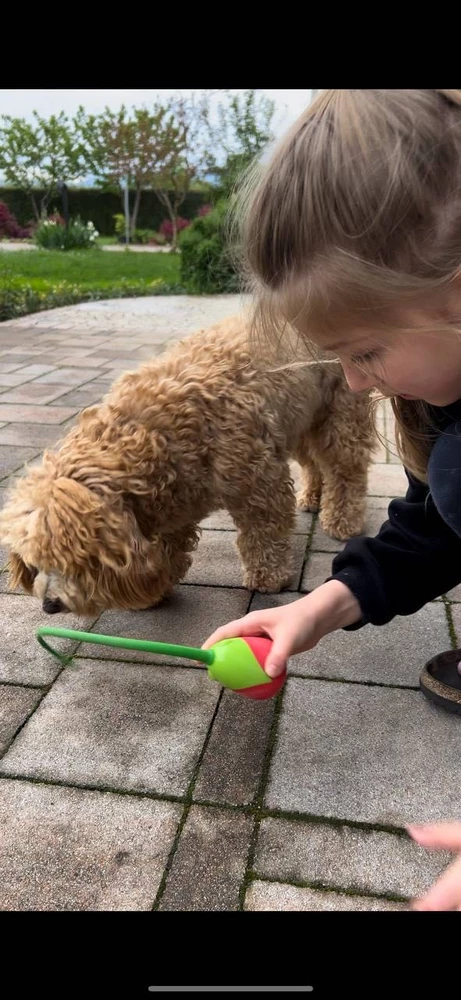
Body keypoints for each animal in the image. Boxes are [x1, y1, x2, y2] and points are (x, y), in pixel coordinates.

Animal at [0, 312, 376, 612]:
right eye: (35, 561)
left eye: (76, 561)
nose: (49, 605)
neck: (152, 431)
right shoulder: (173, 502)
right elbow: (170, 547)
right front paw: (156, 588)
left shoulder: (259, 484)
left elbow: (263, 534)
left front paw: (268, 577)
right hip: (302, 421)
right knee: (314, 463)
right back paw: (312, 497)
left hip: (341, 414)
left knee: (346, 468)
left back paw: (342, 520)